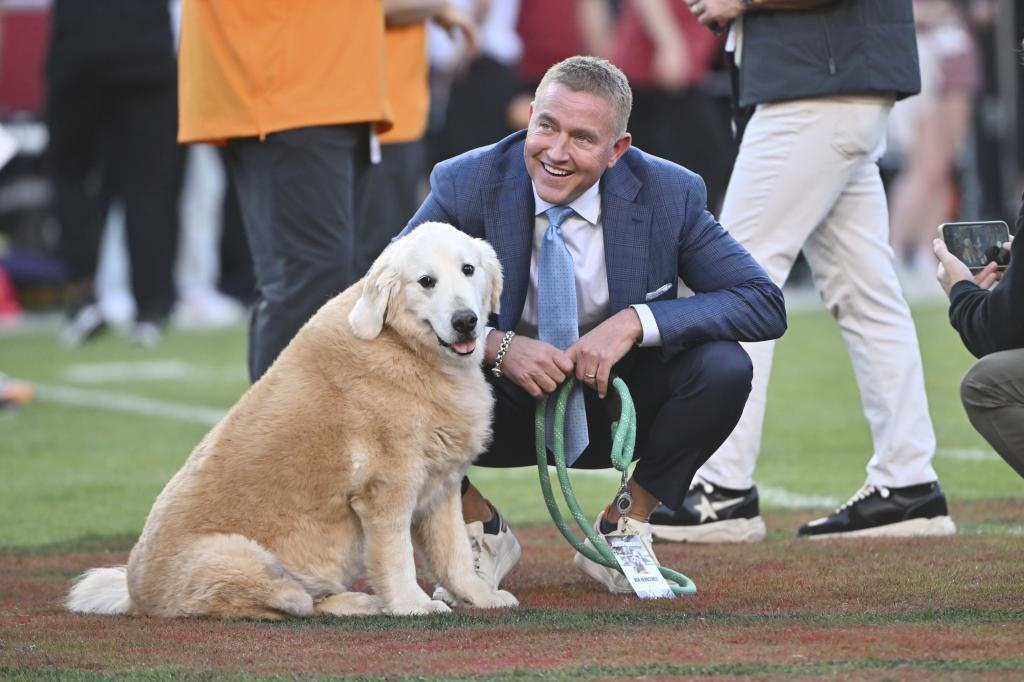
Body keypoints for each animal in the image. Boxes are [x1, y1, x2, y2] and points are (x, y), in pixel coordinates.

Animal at [67, 222, 516, 614]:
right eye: (426, 281)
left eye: (468, 269)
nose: (465, 321)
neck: (406, 347)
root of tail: (134, 597)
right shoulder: (386, 489)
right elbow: (397, 558)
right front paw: (412, 605)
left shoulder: (441, 486)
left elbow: (455, 555)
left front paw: (479, 596)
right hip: (240, 556)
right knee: (292, 602)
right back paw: (354, 603)